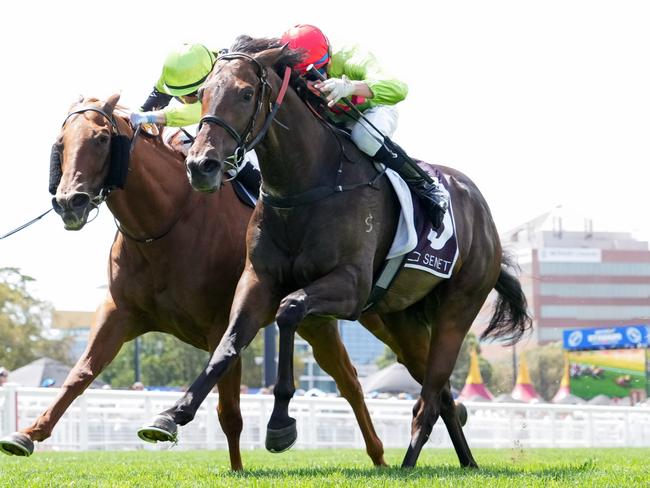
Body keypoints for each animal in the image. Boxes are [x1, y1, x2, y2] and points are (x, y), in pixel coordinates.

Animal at [0, 96, 388, 468]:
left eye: (101, 139)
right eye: (61, 143)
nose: (70, 202)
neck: (163, 226)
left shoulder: (221, 324)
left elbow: (229, 411)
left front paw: (235, 468)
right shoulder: (119, 312)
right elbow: (81, 373)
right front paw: (28, 433)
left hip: (344, 312)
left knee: (353, 379)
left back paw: (381, 455)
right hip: (316, 321)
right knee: (347, 378)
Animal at [143, 40, 532, 470]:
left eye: (245, 93)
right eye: (204, 93)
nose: (201, 166)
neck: (307, 184)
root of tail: (483, 213)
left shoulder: (351, 287)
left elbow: (289, 310)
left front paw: (280, 424)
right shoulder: (259, 279)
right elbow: (228, 343)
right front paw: (171, 415)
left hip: (458, 306)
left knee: (430, 398)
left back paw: (408, 465)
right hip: (402, 319)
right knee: (443, 395)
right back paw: (466, 462)